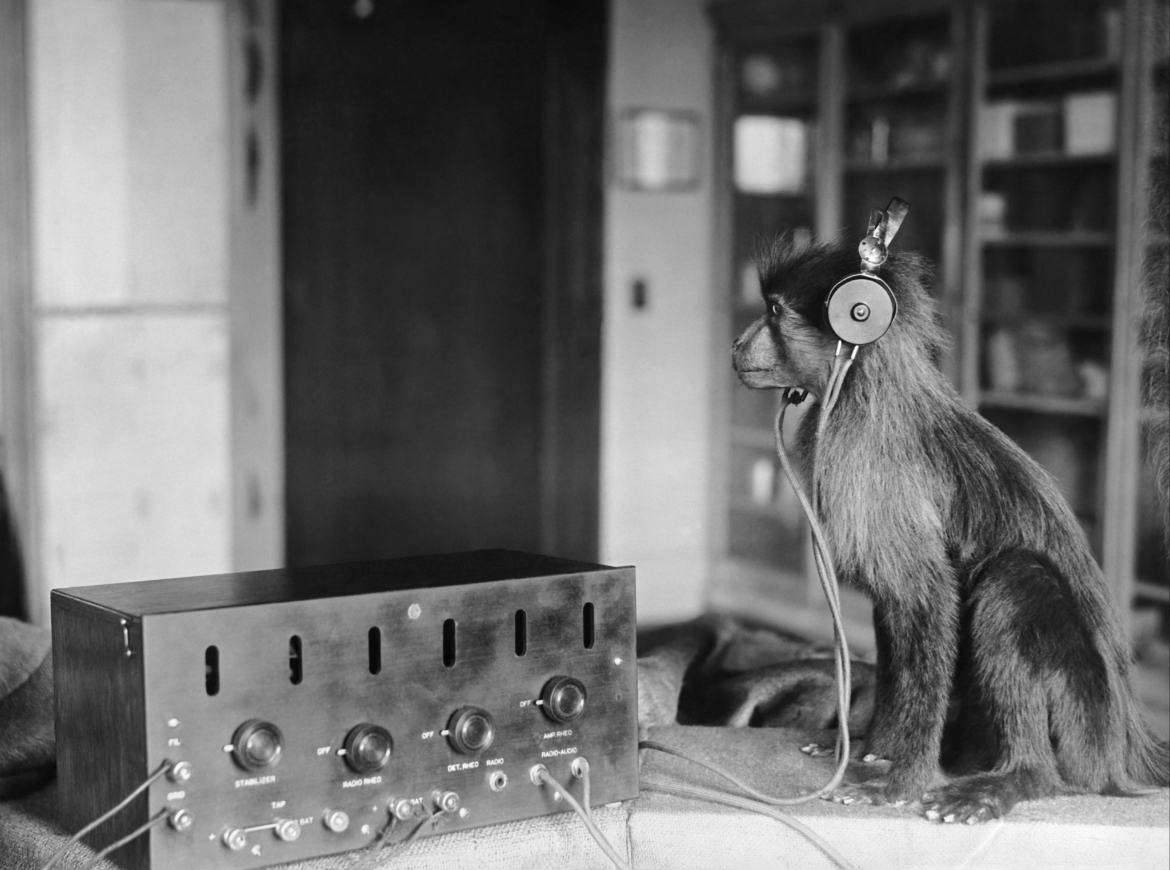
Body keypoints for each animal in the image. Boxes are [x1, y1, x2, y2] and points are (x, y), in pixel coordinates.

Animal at [731, 236, 1170, 824]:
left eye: (775, 312)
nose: (738, 343)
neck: (862, 384)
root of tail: (1126, 744)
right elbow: (895, 619)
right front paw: (875, 746)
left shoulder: (866, 456)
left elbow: (928, 599)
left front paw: (903, 780)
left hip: (1082, 724)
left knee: (1013, 581)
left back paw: (1019, 776)